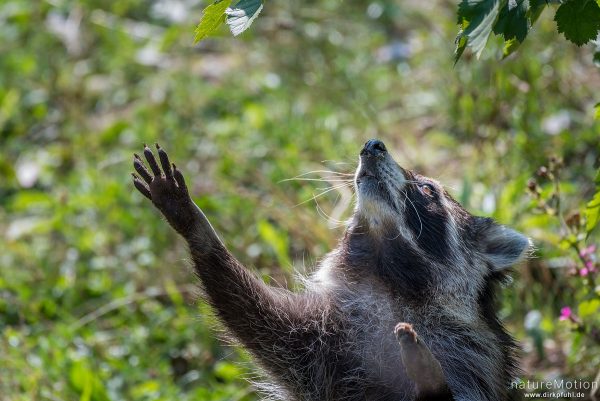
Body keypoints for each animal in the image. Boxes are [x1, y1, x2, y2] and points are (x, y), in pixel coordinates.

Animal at [132, 138, 528, 400]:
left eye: (428, 189)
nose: (373, 145)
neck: (391, 280)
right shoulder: (321, 344)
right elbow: (260, 323)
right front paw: (198, 230)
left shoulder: (471, 361)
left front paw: (432, 384)